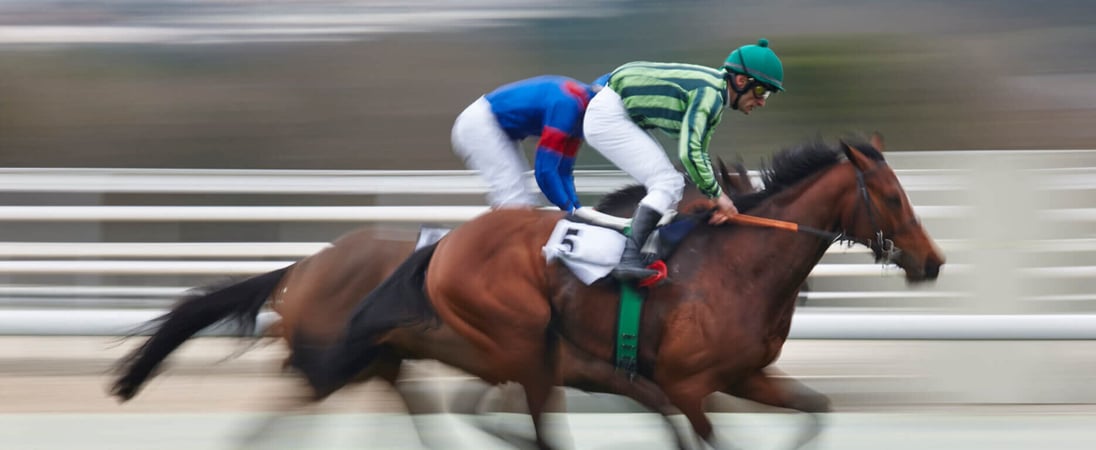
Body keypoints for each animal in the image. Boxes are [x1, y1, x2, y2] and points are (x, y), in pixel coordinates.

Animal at [291, 134, 942, 450]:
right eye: (891, 196)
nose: (932, 262)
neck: (740, 267)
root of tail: (445, 244)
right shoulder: (686, 386)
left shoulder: (743, 377)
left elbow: (817, 412)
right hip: (523, 347)